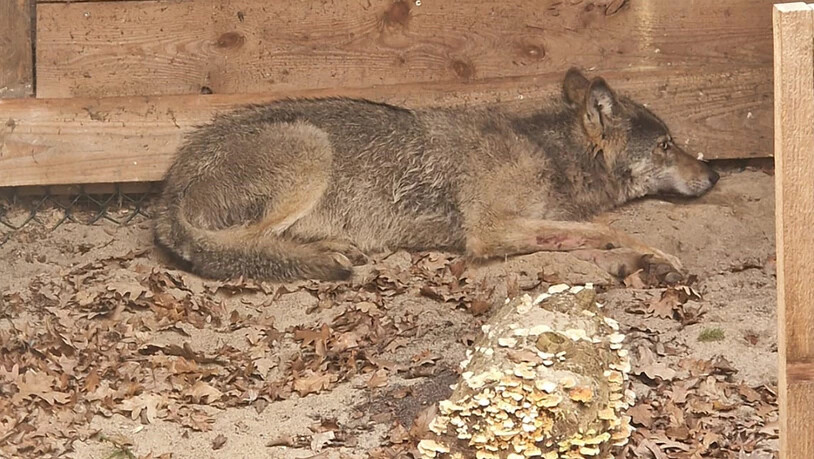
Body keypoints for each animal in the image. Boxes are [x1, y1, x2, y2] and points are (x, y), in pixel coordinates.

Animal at [154, 68, 719, 282]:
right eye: (667, 145)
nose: (714, 174)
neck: (547, 152)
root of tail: (168, 188)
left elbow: (586, 235)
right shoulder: (489, 230)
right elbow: (609, 229)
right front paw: (658, 256)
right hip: (311, 148)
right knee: (241, 247)